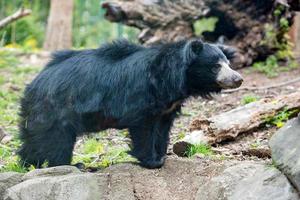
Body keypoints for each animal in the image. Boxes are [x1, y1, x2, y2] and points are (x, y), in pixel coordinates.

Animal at [18, 39, 244, 169]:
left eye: (228, 64)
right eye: (215, 66)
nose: (238, 79)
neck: (175, 81)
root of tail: (35, 82)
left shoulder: (167, 108)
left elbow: (162, 131)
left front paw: (162, 156)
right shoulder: (143, 97)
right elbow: (144, 130)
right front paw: (152, 161)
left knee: (33, 139)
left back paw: (27, 164)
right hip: (59, 109)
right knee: (57, 142)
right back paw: (71, 165)